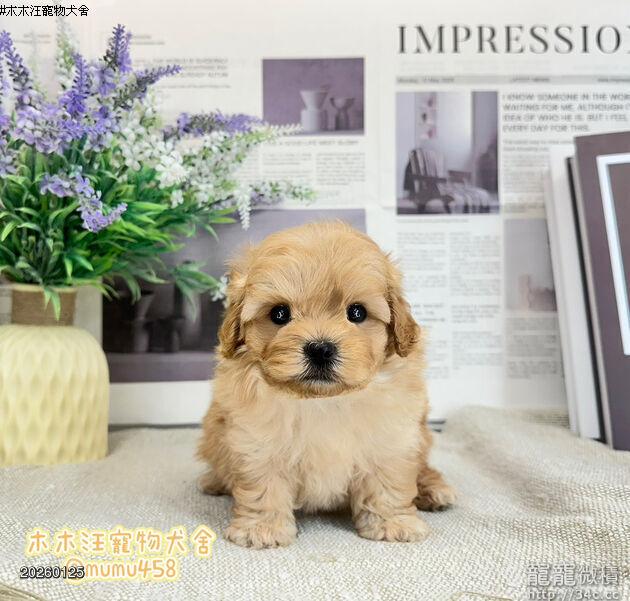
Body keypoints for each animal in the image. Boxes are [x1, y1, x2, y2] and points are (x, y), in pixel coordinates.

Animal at [197, 222, 455, 548]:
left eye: (357, 312)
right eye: (279, 313)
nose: (320, 349)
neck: (323, 400)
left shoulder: (391, 437)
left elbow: (387, 481)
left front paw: (392, 523)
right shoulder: (256, 440)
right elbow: (264, 485)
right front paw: (263, 529)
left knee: (422, 466)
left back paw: (433, 489)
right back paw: (214, 481)